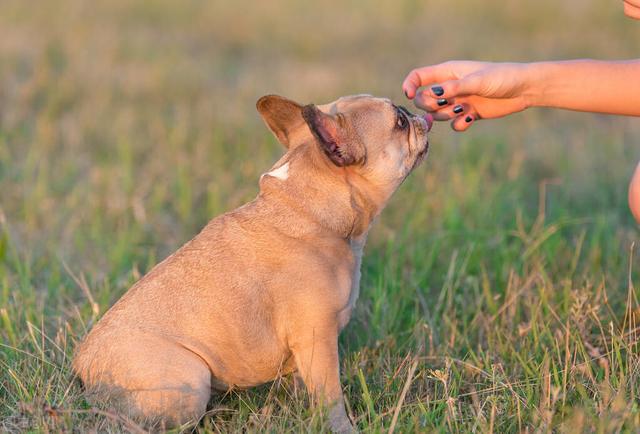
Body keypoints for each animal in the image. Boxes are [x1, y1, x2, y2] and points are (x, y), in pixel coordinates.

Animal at [74, 94, 436, 430]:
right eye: (399, 122)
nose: (419, 115)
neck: (309, 209)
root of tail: (84, 370)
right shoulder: (318, 340)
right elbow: (331, 399)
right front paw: (342, 427)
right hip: (189, 379)